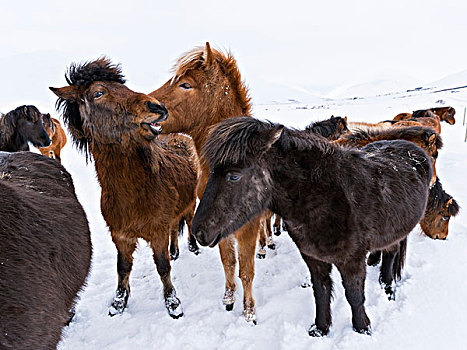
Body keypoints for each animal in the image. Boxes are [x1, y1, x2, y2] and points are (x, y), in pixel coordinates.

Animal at [50, 58, 198, 320]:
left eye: (123, 86)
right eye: (98, 93)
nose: (157, 107)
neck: (134, 196)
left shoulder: (157, 231)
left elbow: (162, 266)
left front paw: (173, 303)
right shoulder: (120, 235)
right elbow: (123, 267)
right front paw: (119, 302)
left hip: (189, 205)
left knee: (188, 222)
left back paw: (191, 246)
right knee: (175, 226)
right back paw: (175, 250)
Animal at [152, 43, 264, 322]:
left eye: (185, 85)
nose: (149, 106)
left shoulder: (248, 225)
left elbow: (246, 270)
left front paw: (249, 312)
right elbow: (229, 262)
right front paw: (228, 298)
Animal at [192, 117, 434, 336]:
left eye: (234, 176)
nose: (198, 232)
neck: (325, 198)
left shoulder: (352, 260)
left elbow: (354, 295)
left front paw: (362, 328)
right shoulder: (313, 258)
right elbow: (321, 292)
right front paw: (321, 329)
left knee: (391, 255)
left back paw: (388, 288)